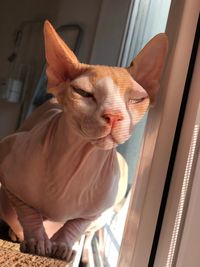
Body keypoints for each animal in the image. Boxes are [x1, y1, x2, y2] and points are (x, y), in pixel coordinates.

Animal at [0, 20, 168, 262]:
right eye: (83, 92)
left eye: (137, 99)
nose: (114, 115)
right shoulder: (7, 160)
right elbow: (27, 209)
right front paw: (38, 239)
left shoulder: (101, 208)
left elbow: (78, 223)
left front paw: (61, 244)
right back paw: (15, 232)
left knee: (89, 234)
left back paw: (83, 252)